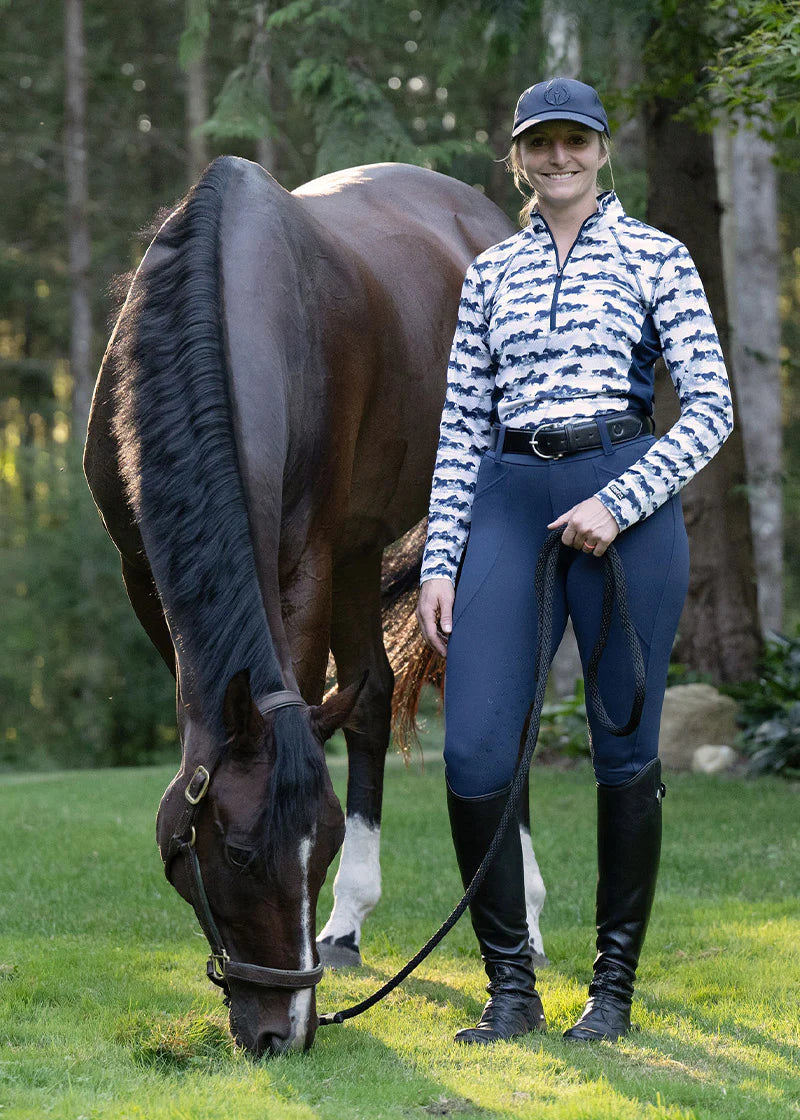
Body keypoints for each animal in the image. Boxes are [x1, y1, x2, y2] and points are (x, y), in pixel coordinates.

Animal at [83, 156, 548, 1055]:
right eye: (235, 854)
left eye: (320, 846)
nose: (283, 1032)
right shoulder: (144, 573)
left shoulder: (306, 557)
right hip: (362, 549)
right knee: (366, 697)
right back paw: (349, 927)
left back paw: (528, 914)